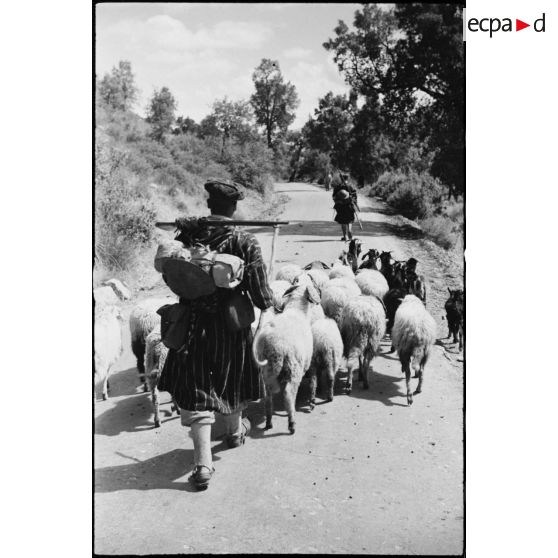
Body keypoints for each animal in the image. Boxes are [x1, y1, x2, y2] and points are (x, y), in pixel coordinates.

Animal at [253, 282, 322, 436]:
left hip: (267, 370)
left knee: (268, 396)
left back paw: (269, 421)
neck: (297, 310)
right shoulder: (307, 363)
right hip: (293, 367)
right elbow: (311, 381)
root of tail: (275, 345)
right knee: (288, 394)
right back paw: (292, 423)